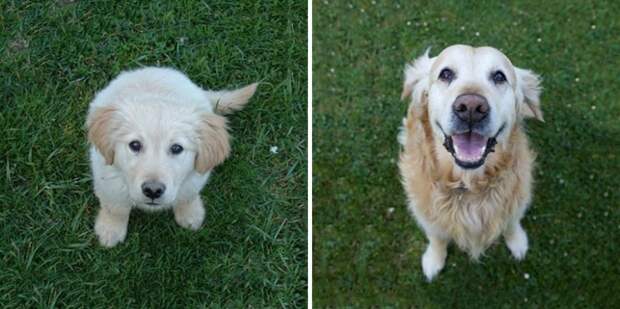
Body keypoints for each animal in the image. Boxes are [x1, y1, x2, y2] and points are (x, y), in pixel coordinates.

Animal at [86, 68, 256, 248]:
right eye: (135, 145)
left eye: (176, 148)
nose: (153, 190)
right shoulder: (108, 181)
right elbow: (115, 208)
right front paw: (110, 230)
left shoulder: (194, 179)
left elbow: (187, 197)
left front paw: (190, 215)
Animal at [398, 45, 544, 280]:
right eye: (446, 74)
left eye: (499, 76)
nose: (471, 107)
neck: (468, 184)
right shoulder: (426, 215)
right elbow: (436, 237)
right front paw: (434, 259)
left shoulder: (517, 200)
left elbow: (512, 223)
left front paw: (517, 243)